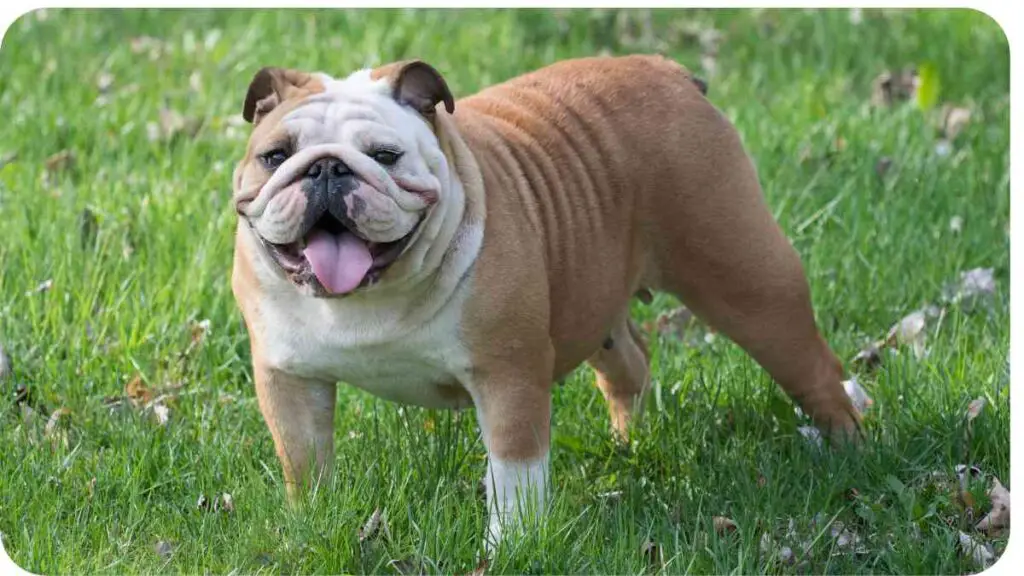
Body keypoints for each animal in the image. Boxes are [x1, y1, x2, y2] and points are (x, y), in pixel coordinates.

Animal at [228, 54, 860, 545]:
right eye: (274, 156)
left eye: (385, 156)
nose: (327, 169)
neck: (372, 293)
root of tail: (671, 71)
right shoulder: (288, 378)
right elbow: (304, 459)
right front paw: (313, 524)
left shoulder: (507, 375)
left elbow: (515, 470)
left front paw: (512, 543)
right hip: (595, 297)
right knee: (629, 363)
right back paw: (630, 444)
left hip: (745, 277)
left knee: (812, 368)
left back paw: (848, 449)